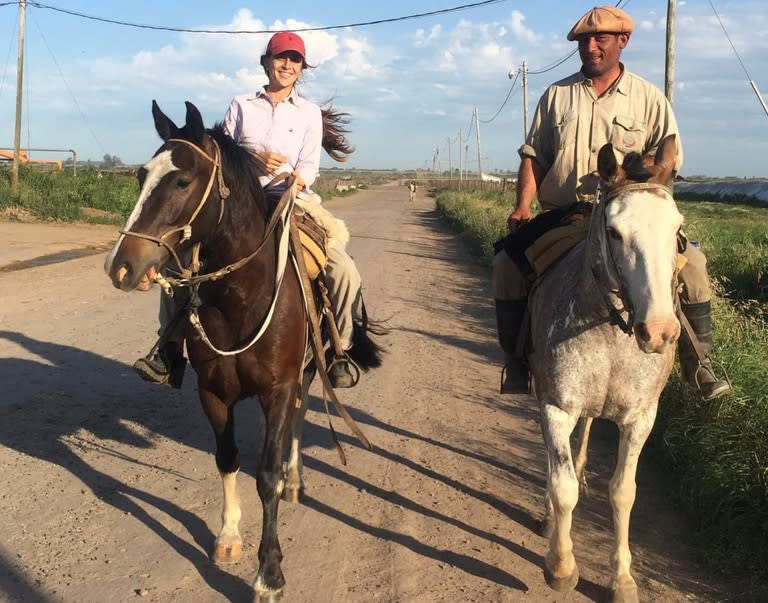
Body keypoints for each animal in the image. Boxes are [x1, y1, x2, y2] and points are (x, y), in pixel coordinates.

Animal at [103, 101, 384, 600]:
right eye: (140, 175)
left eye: (182, 181)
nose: (120, 266)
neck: (240, 297)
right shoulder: (213, 393)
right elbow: (228, 459)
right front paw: (229, 537)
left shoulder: (278, 388)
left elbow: (266, 475)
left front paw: (268, 574)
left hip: (309, 370)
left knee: (300, 416)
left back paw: (296, 480)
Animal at [528, 137, 684, 603]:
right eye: (615, 232)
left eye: (678, 231)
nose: (660, 331)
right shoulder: (556, 408)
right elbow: (561, 487)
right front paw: (561, 567)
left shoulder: (641, 419)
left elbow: (622, 493)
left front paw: (622, 579)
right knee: (555, 466)